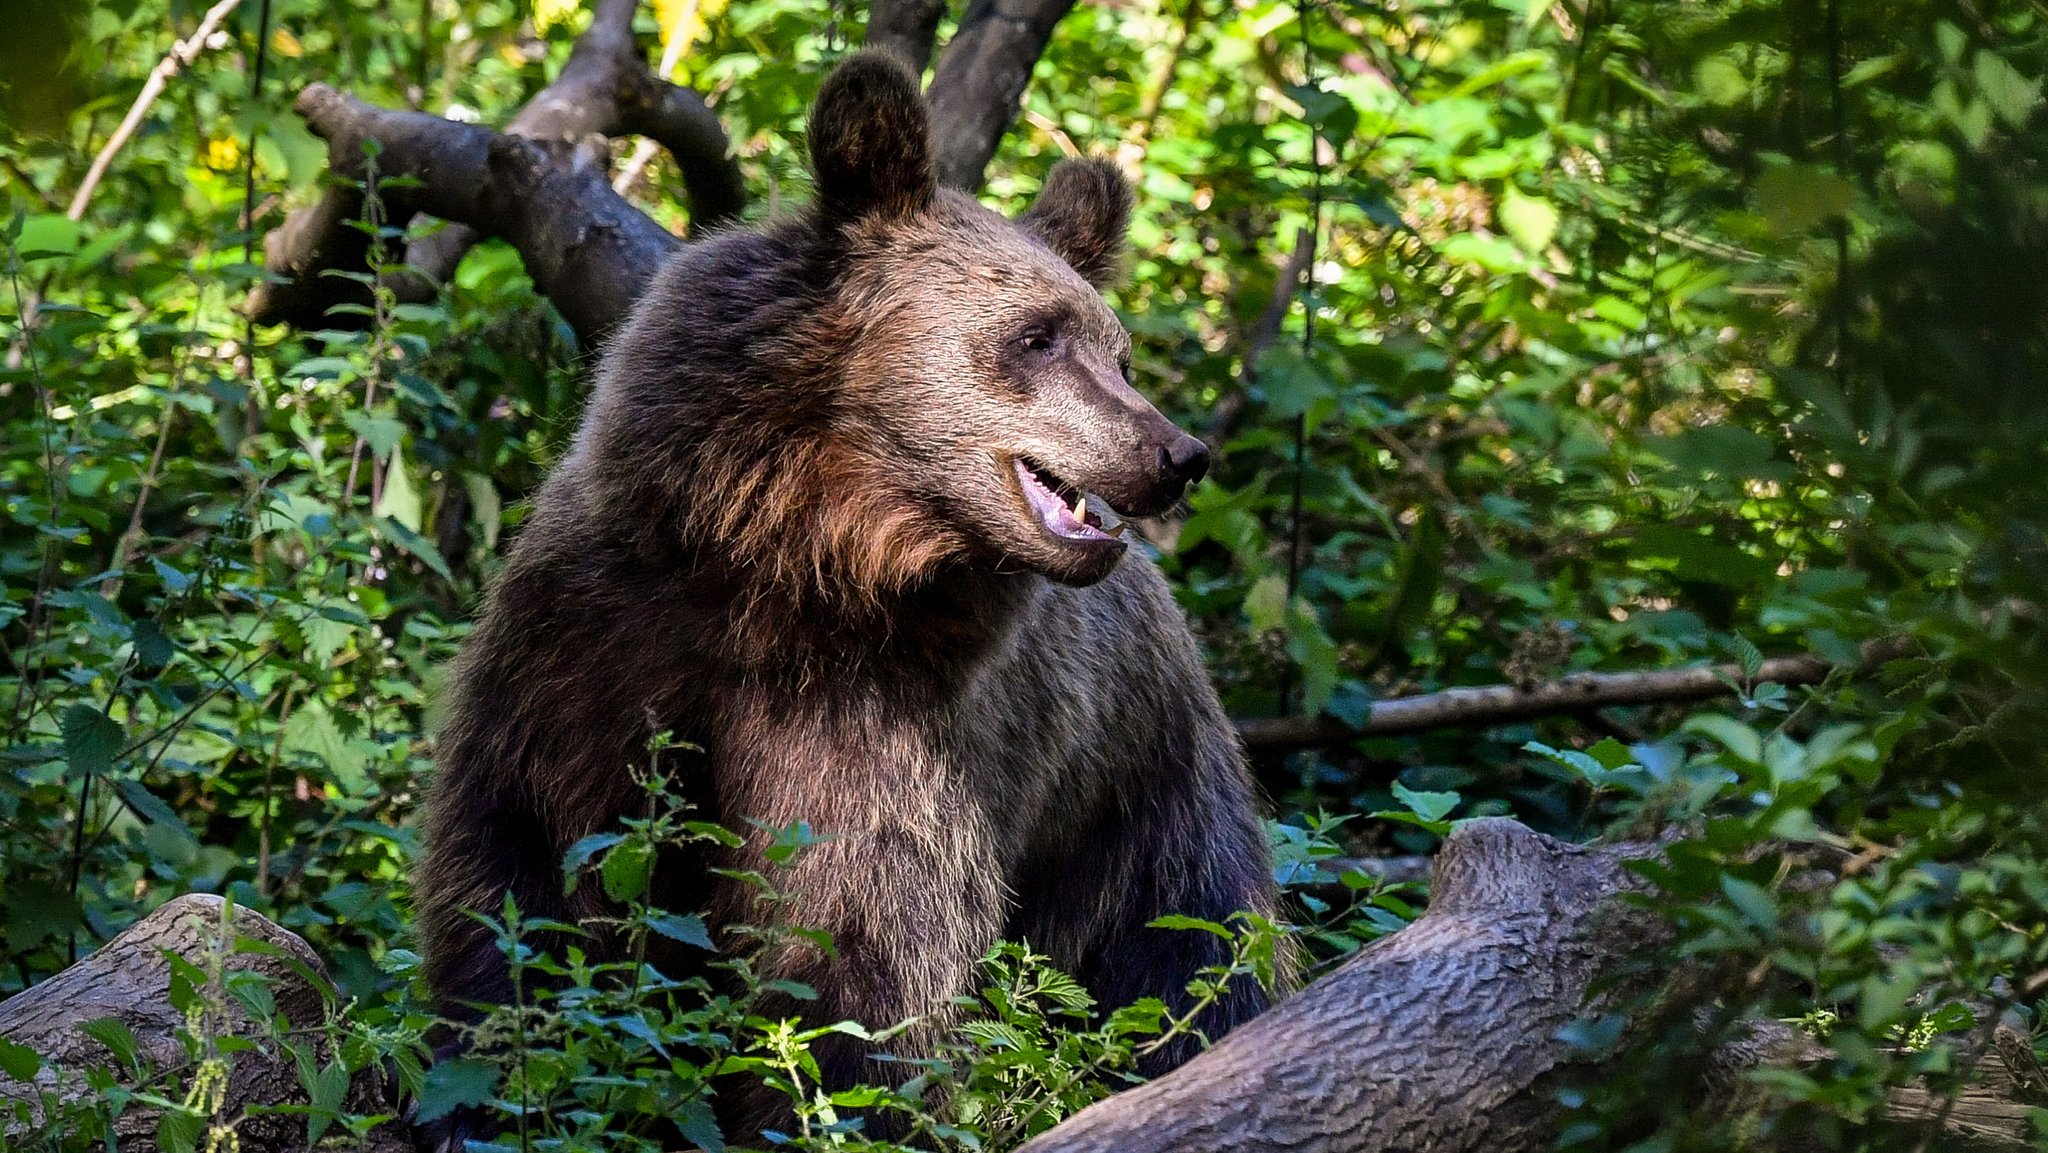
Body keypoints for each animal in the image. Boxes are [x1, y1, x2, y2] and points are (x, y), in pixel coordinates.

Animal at [415, 49, 1277, 1138]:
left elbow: (855, 942)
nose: (1173, 452)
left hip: (1134, 789)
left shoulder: (877, 722)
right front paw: (485, 1081)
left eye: (1115, 350)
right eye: (1038, 335)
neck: (787, 564)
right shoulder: (593, 641)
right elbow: (527, 872)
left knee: (1191, 950)